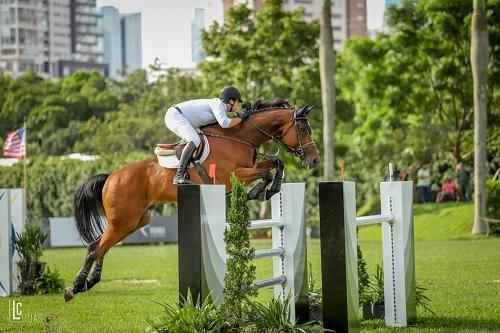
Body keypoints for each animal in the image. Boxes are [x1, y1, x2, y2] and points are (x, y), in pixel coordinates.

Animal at [63, 98, 320, 300]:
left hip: (134, 222)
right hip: (123, 220)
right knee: (95, 247)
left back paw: (89, 282)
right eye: (303, 129)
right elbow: (265, 172)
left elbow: (276, 163)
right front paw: (258, 192)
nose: (315, 160)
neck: (240, 137)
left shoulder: (250, 167)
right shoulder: (234, 174)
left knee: (101, 246)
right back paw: (74, 287)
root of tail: (111, 177)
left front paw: (271, 189)